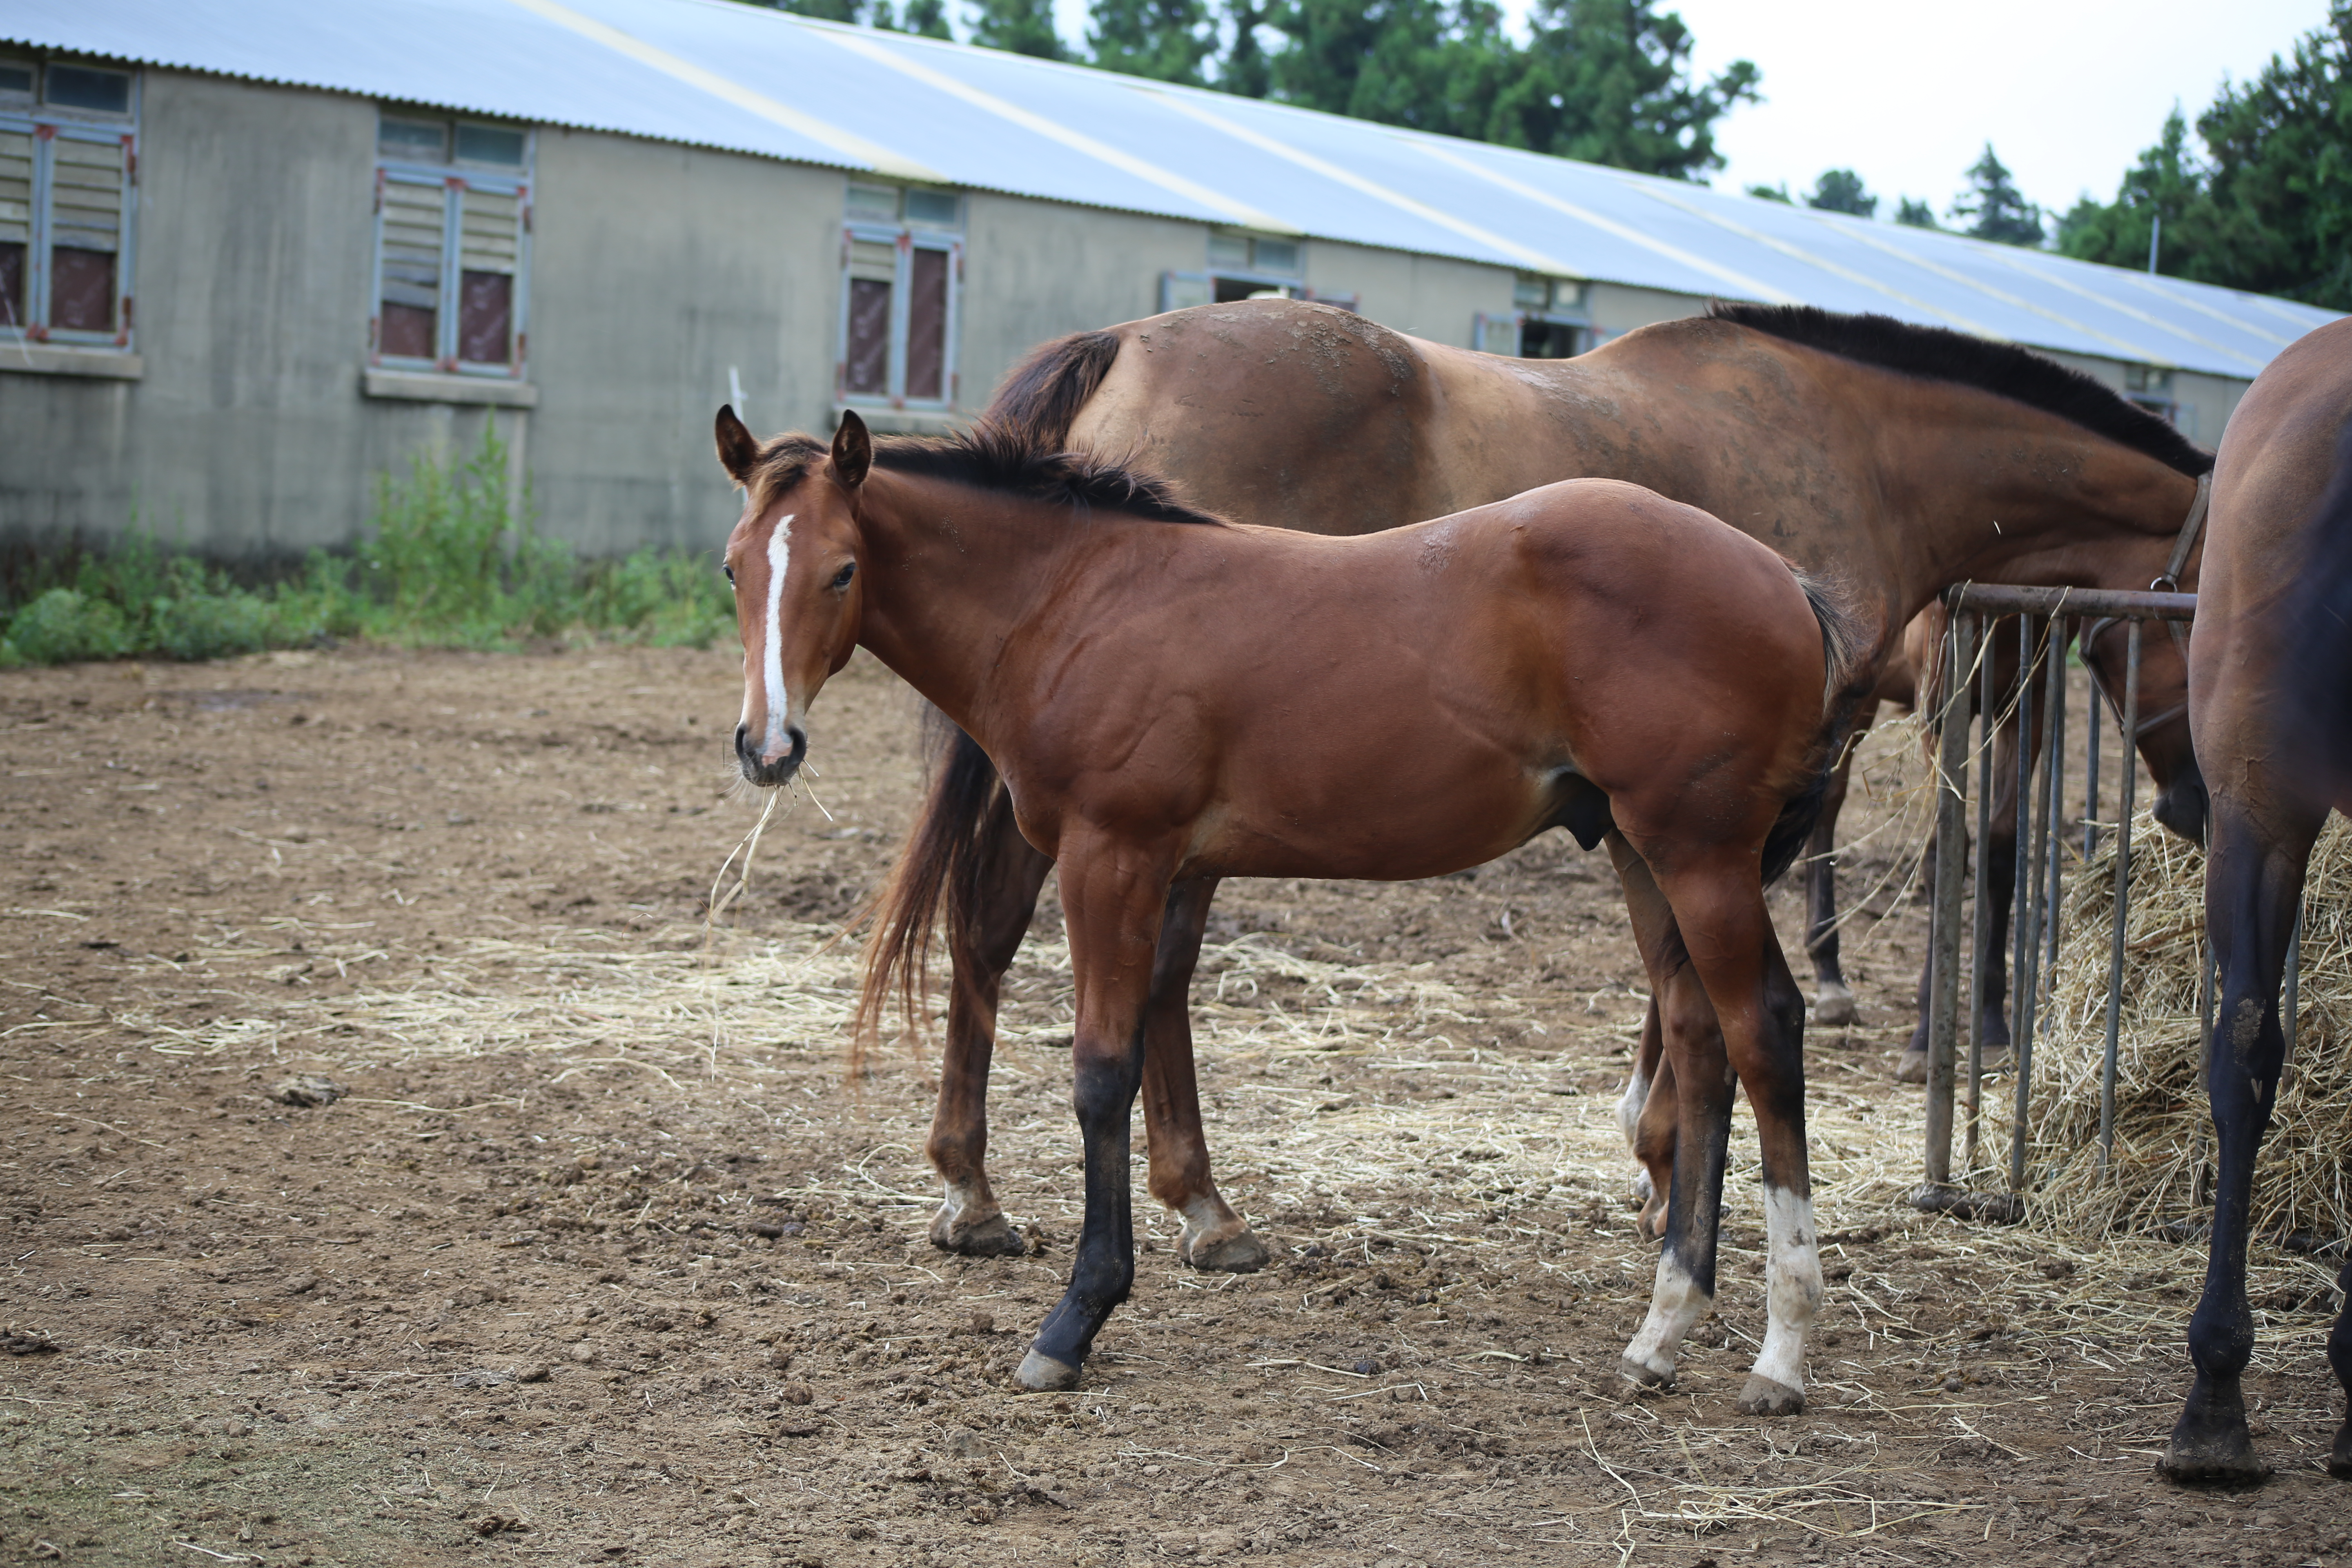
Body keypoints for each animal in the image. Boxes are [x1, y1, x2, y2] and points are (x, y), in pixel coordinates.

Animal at [724, 404, 1862, 1410]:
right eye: (735, 568)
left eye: (842, 570)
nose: (766, 746)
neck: (1074, 599)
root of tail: (1786, 579)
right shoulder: (1153, 863)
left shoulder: (1114, 854)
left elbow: (1100, 1073)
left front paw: (1077, 1318)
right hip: (1643, 851)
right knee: (1699, 1040)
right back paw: (1661, 1334)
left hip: (1699, 855)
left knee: (1763, 1030)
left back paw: (1782, 1352)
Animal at [856, 301, 2211, 1278]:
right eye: (2211, 615)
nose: (2199, 802)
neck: (1850, 446)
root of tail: (1127, 344)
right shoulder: (1743, 799)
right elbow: (1693, 986)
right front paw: (1661, 1156)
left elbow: (1680, 974)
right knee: (1103, 954)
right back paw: (1148, 1200)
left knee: (1014, 936)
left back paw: (1013, 1189)